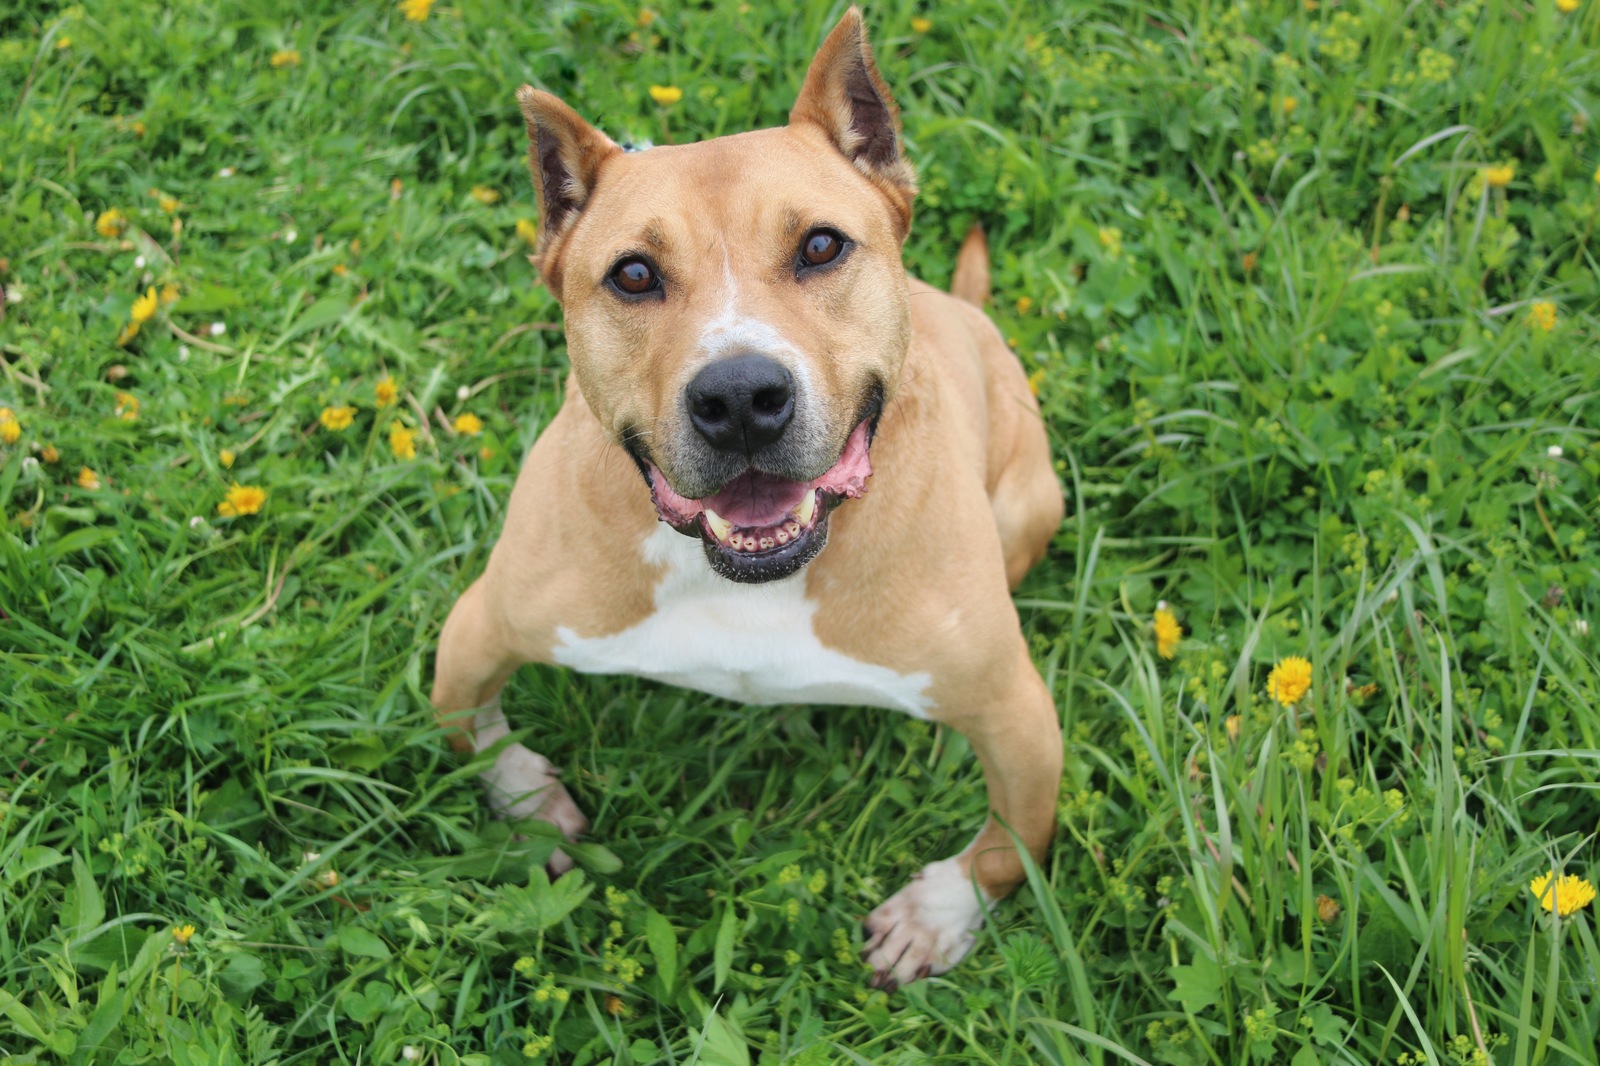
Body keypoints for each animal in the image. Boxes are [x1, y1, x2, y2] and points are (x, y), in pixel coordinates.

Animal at [432, 8, 1068, 985]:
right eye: (632, 274)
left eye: (821, 246)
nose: (737, 398)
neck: (741, 573)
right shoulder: (482, 625)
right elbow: (466, 726)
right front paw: (532, 803)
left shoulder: (1015, 711)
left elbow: (1014, 841)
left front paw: (937, 915)